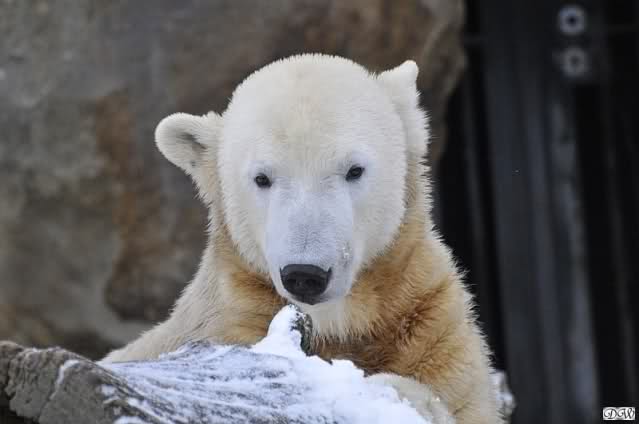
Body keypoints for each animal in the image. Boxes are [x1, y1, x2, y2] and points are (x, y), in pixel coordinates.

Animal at [103, 54, 501, 424]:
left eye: (354, 170)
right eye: (262, 178)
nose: (305, 274)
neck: (335, 323)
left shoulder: (428, 323)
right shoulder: (229, 325)